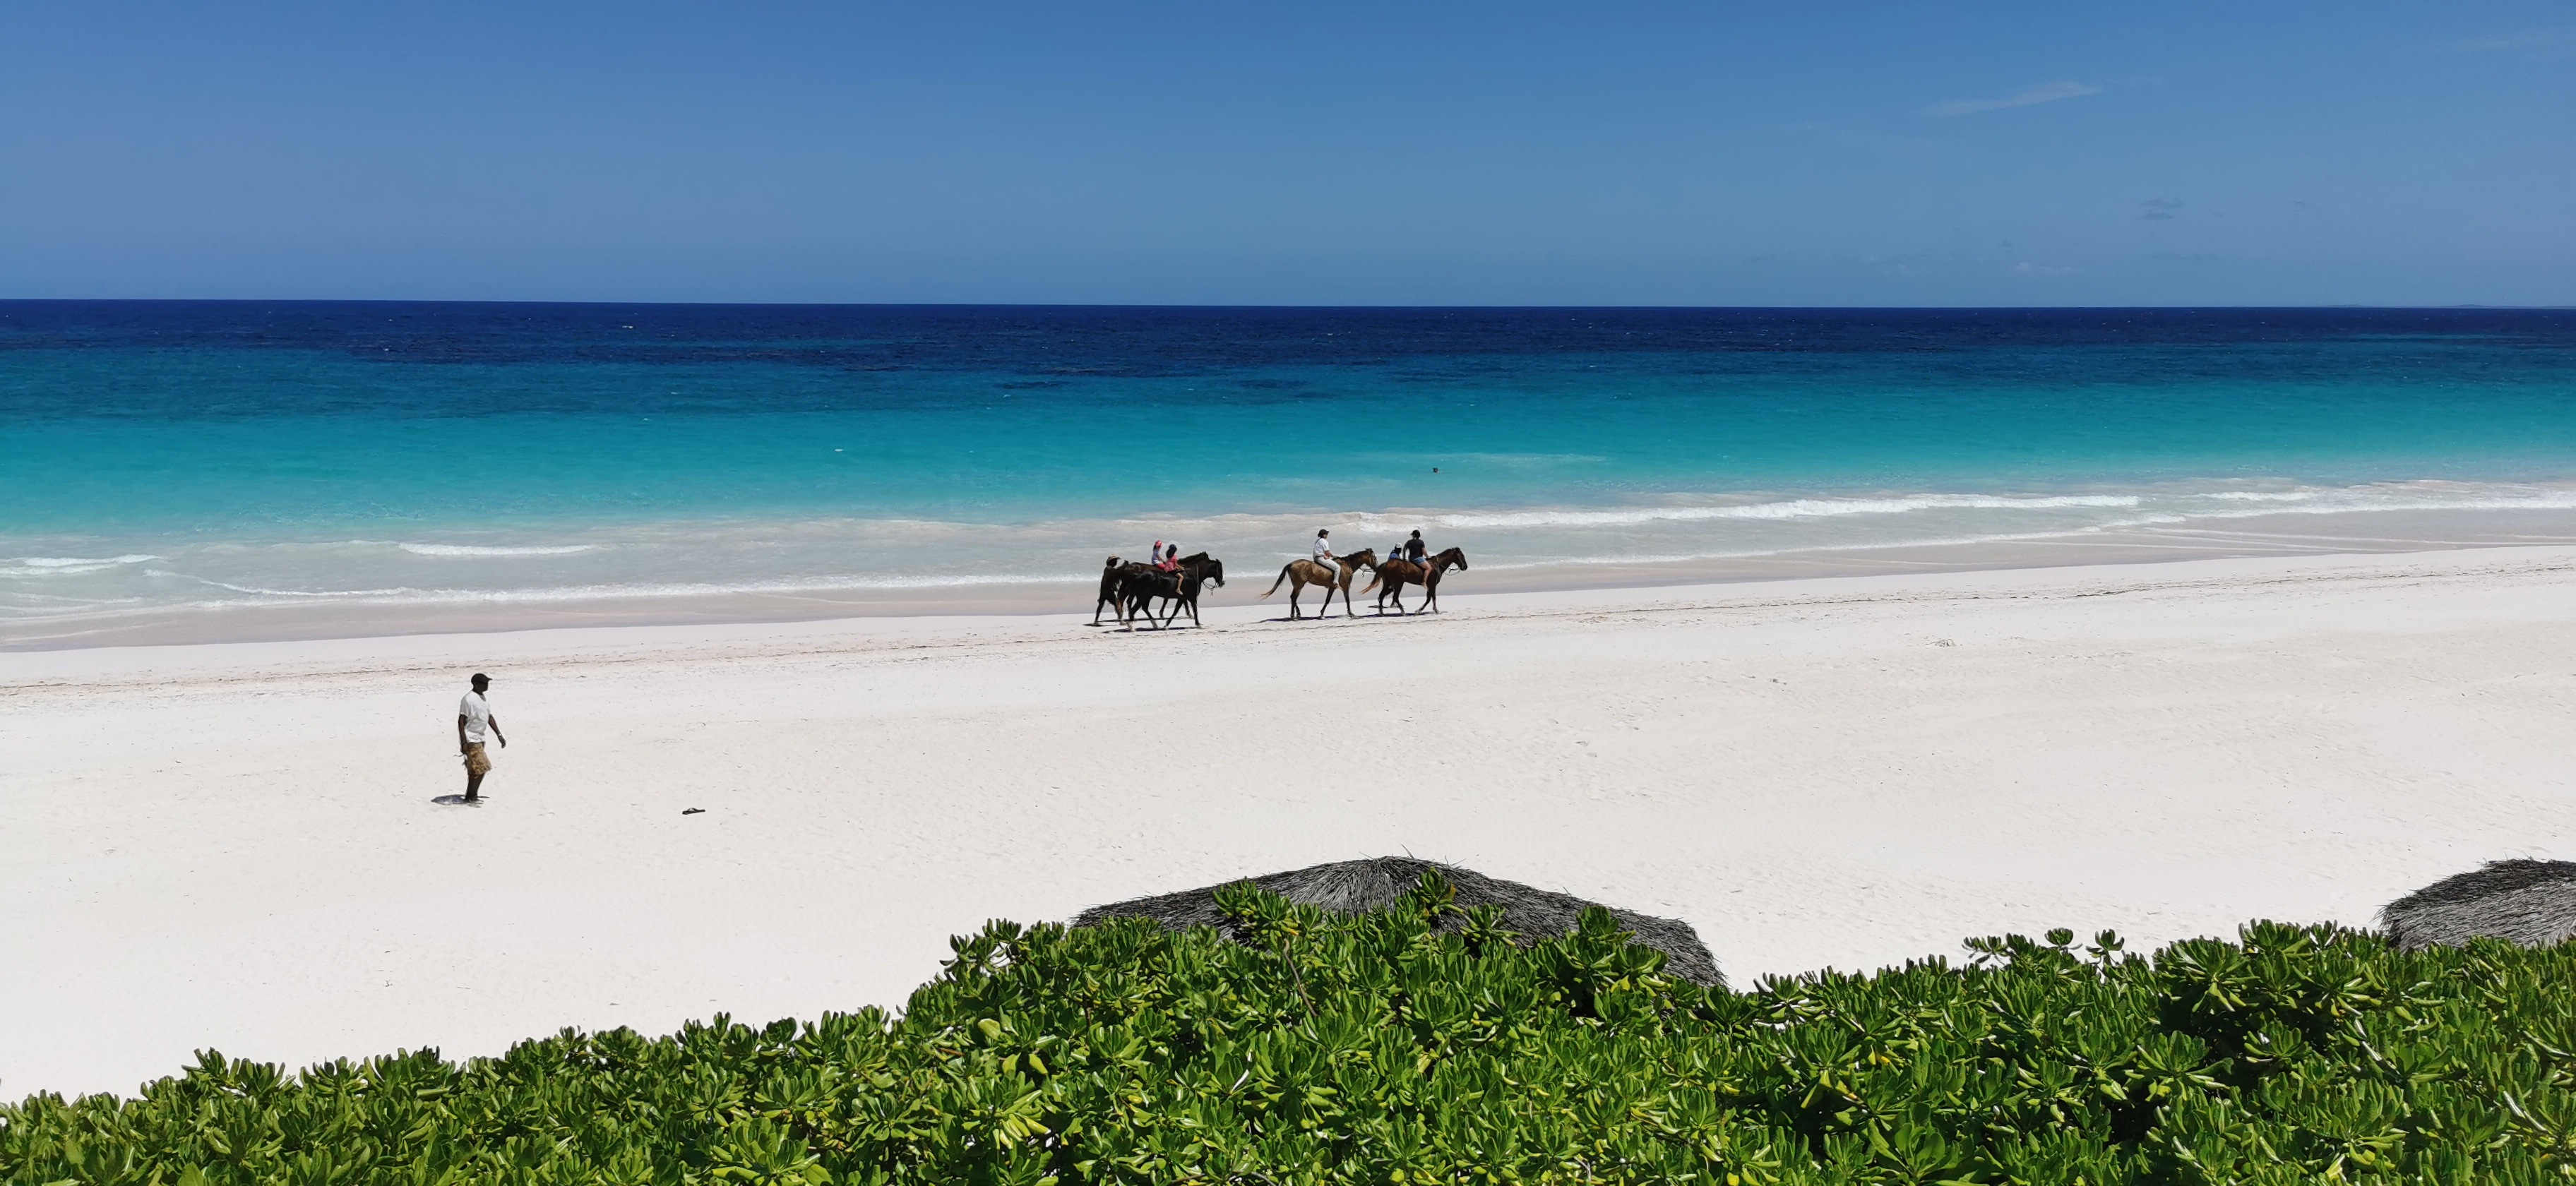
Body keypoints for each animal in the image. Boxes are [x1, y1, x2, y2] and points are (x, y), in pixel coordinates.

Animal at [1123, 553, 1225, 629]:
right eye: (1220, 570)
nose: (1222, 582)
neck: (1192, 575)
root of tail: (1136, 575)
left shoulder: (1182, 598)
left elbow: (1175, 611)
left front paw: (1166, 625)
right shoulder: (1192, 597)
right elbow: (1195, 609)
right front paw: (1198, 624)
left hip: (1147, 597)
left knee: (1144, 608)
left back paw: (1155, 625)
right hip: (1142, 597)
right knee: (1133, 610)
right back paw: (1132, 627)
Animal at [1258, 549, 1378, 620]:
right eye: (1374, 558)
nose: (1376, 568)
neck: (1346, 566)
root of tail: (1291, 563)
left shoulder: (1332, 588)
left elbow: (1327, 600)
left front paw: (1321, 613)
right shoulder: (1345, 587)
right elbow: (1347, 600)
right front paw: (1351, 614)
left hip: (1298, 586)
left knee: (1294, 598)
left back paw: (1297, 614)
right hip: (1299, 585)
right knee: (1293, 597)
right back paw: (1294, 615)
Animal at [1361, 547, 1467, 614]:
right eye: (1461, 556)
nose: (1465, 567)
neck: (1436, 565)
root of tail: (1387, 564)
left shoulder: (1431, 585)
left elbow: (1431, 597)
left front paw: (1431, 610)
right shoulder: (1432, 585)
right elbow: (1430, 598)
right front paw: (1423, 610)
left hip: (1388, 583)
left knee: (1382, 596)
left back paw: (1382, 612)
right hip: (1398, 583)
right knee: (1395, 597)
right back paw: (1402, 611)